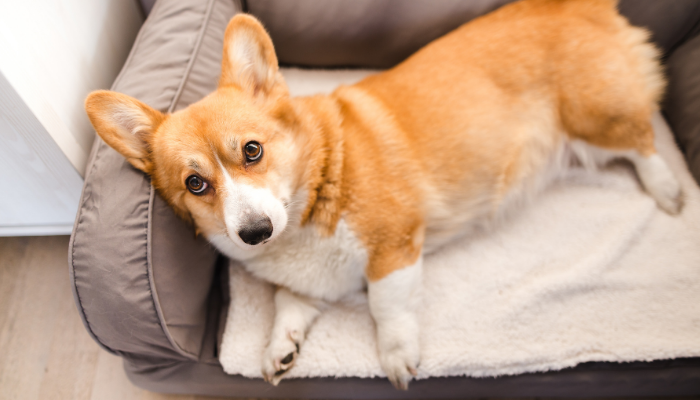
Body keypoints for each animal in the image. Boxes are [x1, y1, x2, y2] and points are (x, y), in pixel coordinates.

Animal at [85, 0, 680, 390]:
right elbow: (286, 305)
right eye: (196, 184)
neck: (315, 189)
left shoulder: (394, 248)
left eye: (252, 151)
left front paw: (396, 357)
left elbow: (385, 304)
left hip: (594, 121)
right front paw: (280, 349)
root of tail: (573, 3)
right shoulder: (306, 285)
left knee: (642, 140)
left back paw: (669, 189)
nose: (255, 233)